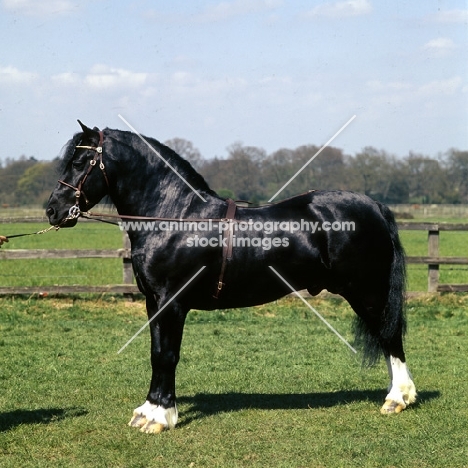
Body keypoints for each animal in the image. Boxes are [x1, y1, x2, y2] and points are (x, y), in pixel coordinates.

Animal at [45, 121, 414, 436]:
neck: (175, 216)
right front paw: (148, 411)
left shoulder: (171, 303)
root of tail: (374, 206)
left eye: (81, 161)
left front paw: (160, 417)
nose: (53, 209)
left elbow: (166, 355)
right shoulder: (154, 302)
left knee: (390, 337)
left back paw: (397, 398)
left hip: (368, 292)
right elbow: (156, 352)